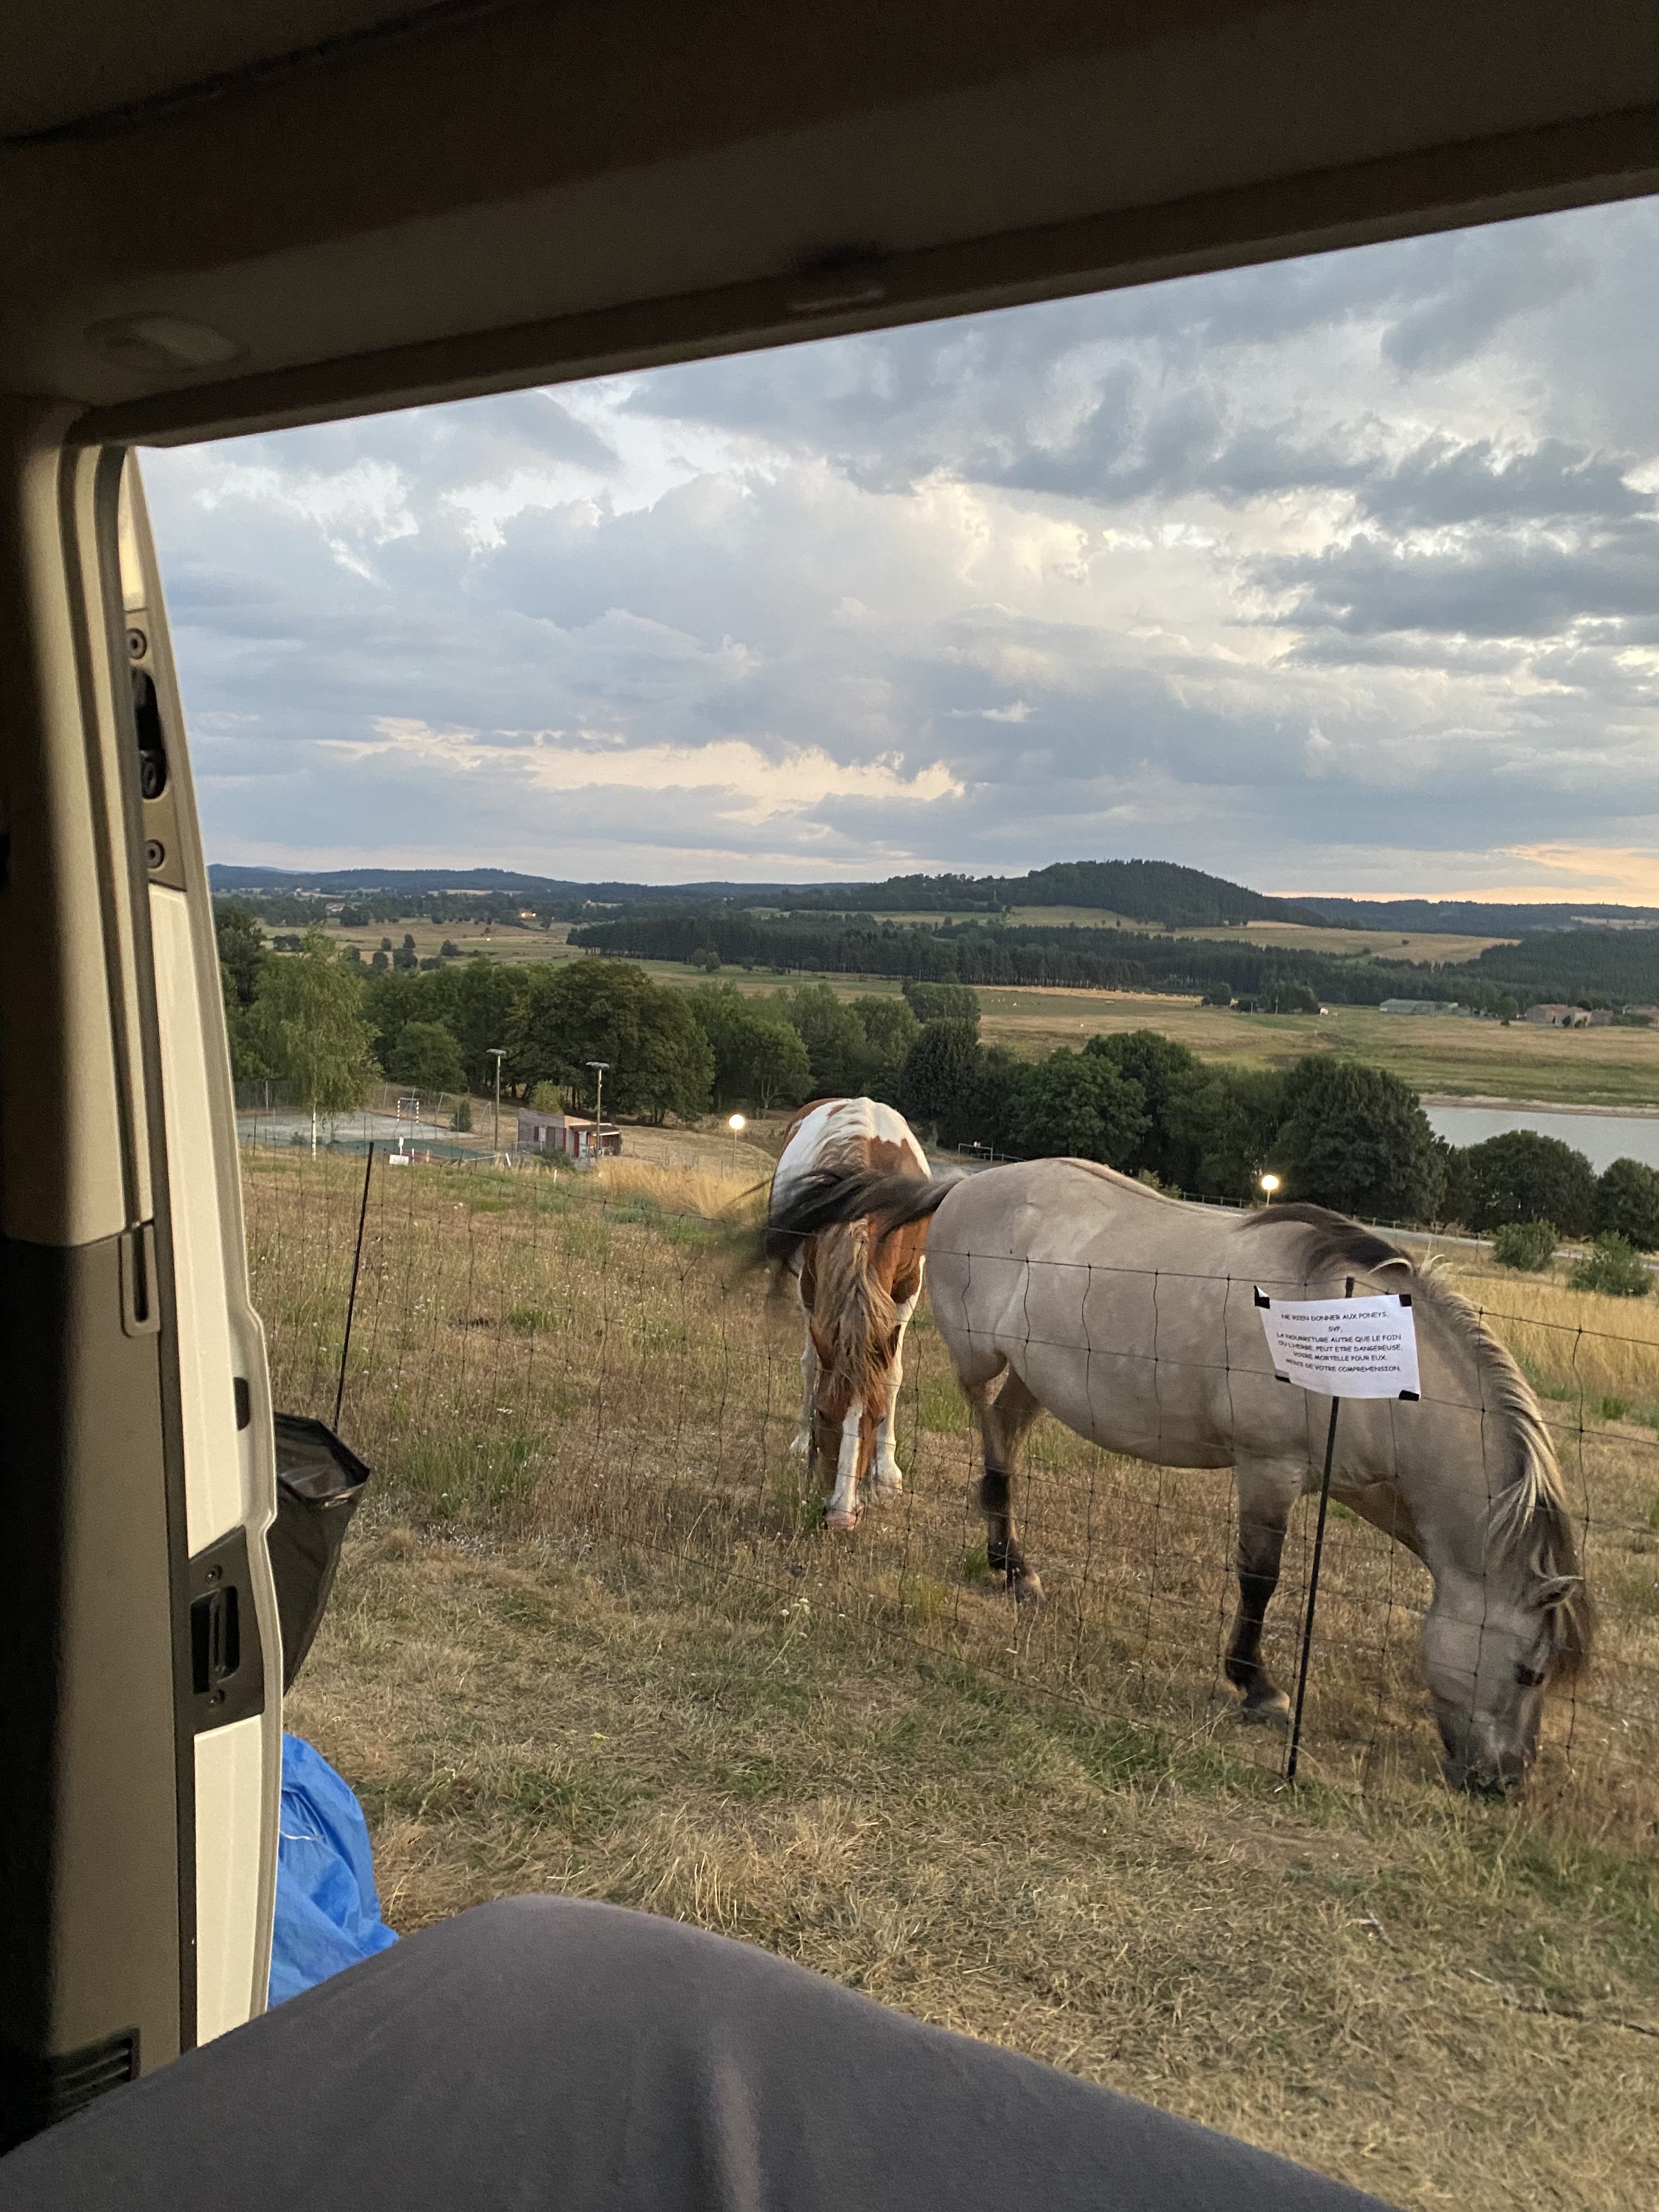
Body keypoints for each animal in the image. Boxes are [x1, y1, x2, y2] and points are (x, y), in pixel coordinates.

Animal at [767, 1098, 931, 1532]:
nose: (842, 1516)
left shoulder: (908, 1289)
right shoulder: (811, 1286)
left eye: (876, 1419)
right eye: (824, 1412)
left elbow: (893, 1376)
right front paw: (803, 1442)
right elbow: (813, 1365)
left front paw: (887, 1473)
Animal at [770, 1158, 1591, 1794]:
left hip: (1035, 1378)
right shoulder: (1268, 1471)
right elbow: (1260, 1578)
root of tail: (966, 1182)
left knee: (1003, 1431)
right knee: (972, 1431)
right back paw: (976, 1541)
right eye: (1530, 1671)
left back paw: (1013, 1570)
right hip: (976, 1359)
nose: (1505, 1782)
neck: (1359, 1351)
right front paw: (1257, 1686)